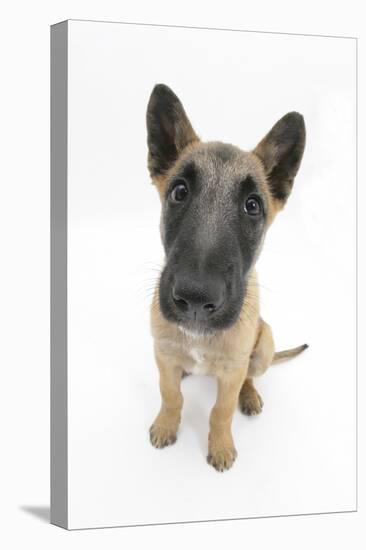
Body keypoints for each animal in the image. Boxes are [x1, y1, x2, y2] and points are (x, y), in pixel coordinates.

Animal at [144, 84, 308, 472]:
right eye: (179, 192)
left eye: (253, 205)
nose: (195, 299)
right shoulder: (162, 355)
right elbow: (170, 394)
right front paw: (166, 424)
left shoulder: (232, 372)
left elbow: (221, 410)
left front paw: (220, 446)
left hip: (264, 344)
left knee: (249, 376)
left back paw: (250, 396)